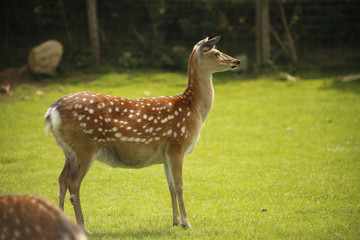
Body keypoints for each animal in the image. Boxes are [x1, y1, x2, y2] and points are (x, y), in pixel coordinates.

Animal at [45, 36, 242, 232]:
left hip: (68, 150)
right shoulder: (177, 144)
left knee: (61, 179)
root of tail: (51, 112)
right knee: (73, 182)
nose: (236, 61)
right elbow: (180, 186)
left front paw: (175, 221)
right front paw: (187, 223)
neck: (194, 109)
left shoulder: (165, 155)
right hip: (85, 146)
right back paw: (83, 227)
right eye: (216, 53)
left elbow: (171, 187)